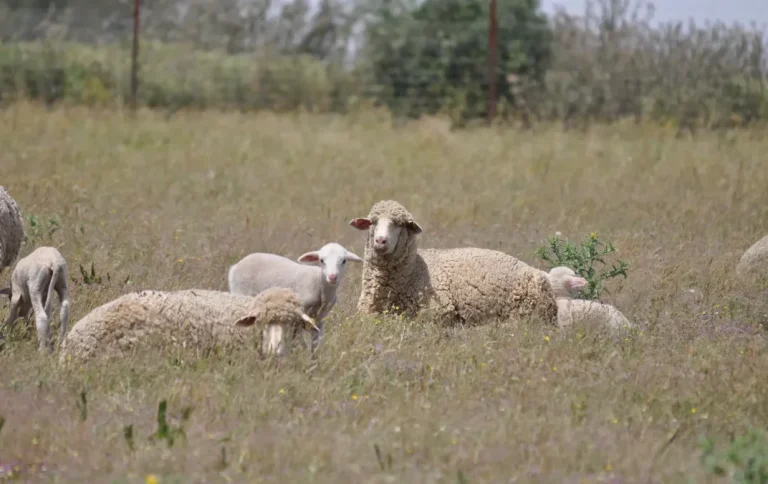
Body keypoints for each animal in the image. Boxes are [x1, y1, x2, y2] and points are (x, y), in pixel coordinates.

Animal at [228, 242, 364, 352]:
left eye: (344, 261)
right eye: (321, 260)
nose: (332, 277)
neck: (321, 286)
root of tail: (235, 266)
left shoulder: (319, 320)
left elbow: (316, 345)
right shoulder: (299, 315)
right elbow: (298, 341)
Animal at [348, 199, 560, 328]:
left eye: (400, 224)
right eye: (372, 222)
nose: (380, 241)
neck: (414, 270)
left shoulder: (437, 313)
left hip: (525, 315)